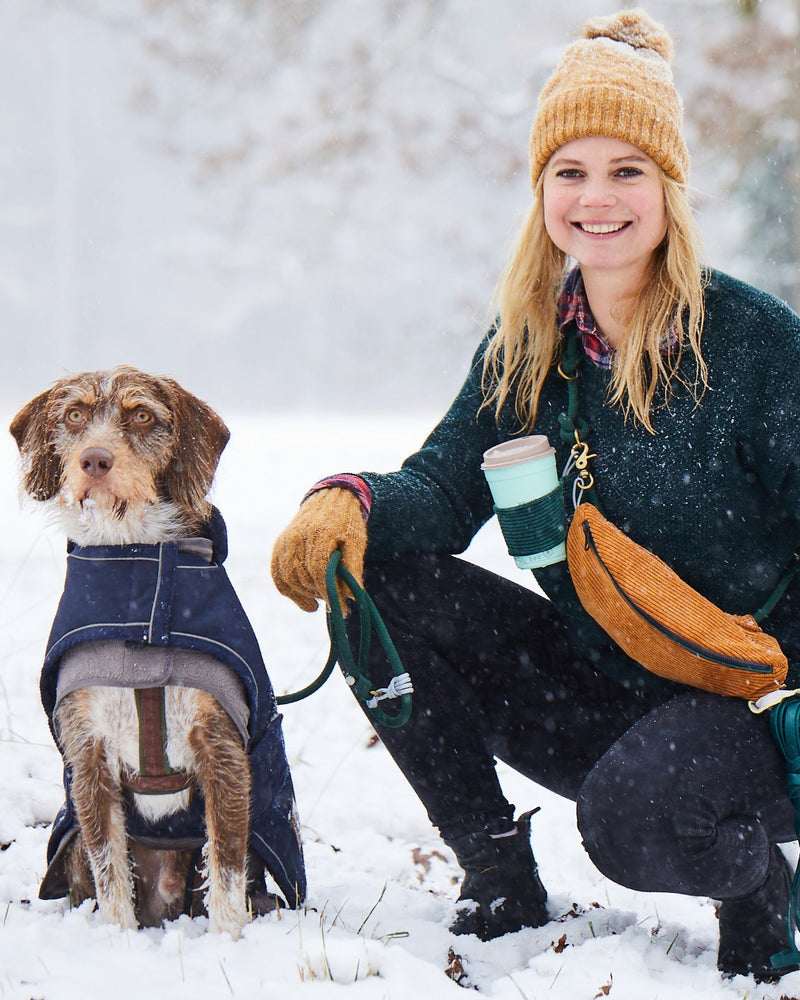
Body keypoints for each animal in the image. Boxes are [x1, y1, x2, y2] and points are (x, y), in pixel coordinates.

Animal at [12, 368, 306, 936]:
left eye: (142, 415)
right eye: (74, 415)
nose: (95, 460)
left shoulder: (222, 748)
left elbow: (227, 872)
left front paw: (226, 943)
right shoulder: (88, 751)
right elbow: (110, 870)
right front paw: (121, 943)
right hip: (72, 846)